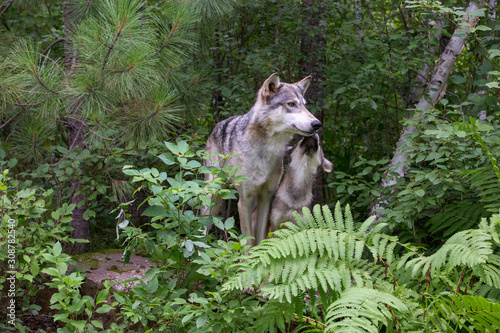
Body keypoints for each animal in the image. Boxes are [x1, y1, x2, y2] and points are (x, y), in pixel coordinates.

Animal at [205, 72, 322, 244]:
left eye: (304, 105)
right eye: (292, 104)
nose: (317, 124)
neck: (265, 151)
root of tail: (217, 125)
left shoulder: (266, 197)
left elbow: (259, 237)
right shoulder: (244, 200)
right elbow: (247, 241)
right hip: (212, 192)